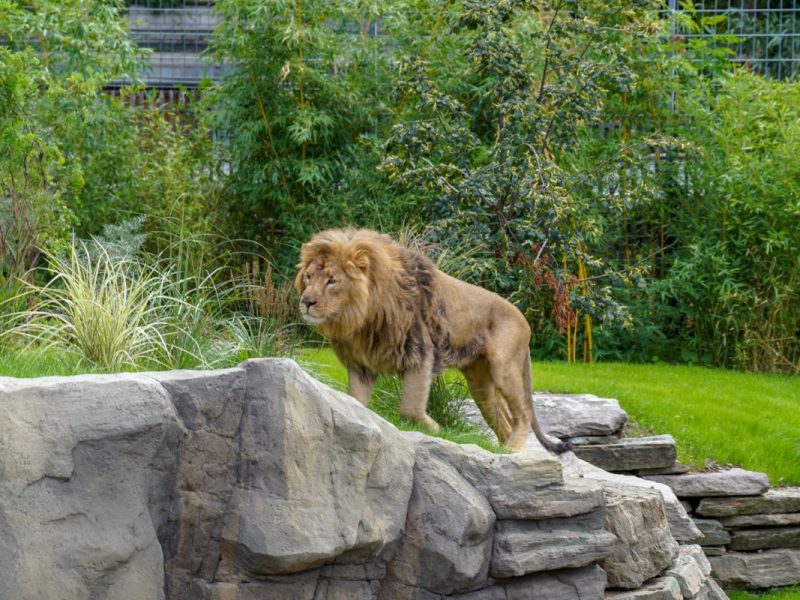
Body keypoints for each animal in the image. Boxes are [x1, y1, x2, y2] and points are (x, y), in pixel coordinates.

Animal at [295, 228, 569, 453]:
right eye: (308, 277)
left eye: (332, 280)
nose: (306, 301)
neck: (361, 319)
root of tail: (524, 319)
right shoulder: (360, 365)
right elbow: (356, 401)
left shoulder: (420, 353)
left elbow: (410, 406)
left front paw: (433, 428)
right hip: (480, 382)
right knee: (504, 419)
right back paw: (500, 451)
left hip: (505, 368)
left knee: (522, 414)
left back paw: (512, 448)